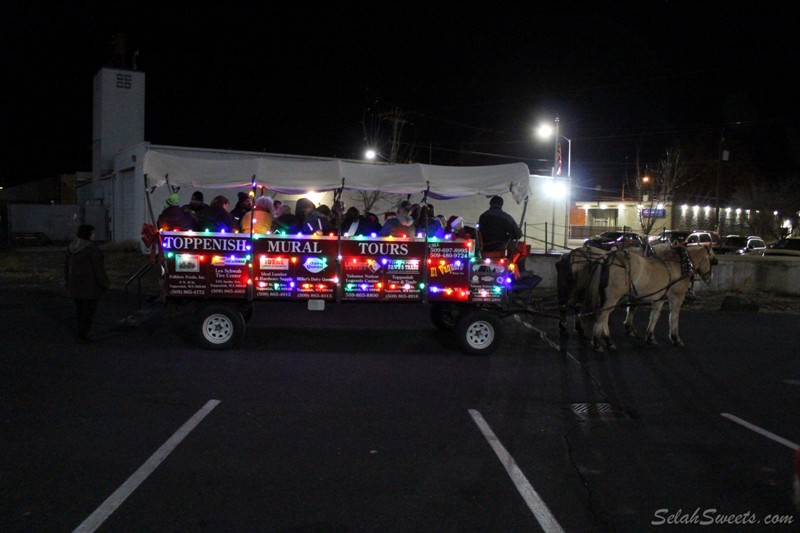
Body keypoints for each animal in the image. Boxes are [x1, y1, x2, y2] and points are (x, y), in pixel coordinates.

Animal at [584, 243, 716, 352]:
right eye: (711, 260)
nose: (709, 278)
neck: (681, 263)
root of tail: (608, 257)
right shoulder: (677, 297)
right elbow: (674, 317)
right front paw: (676, 338)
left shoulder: (660, 298)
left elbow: (654, 316)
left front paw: (650, 336)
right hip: (613, 297)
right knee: (602, 315)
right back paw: (597, 343)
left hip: (608, 297)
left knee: (605, 316)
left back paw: (609, 341)